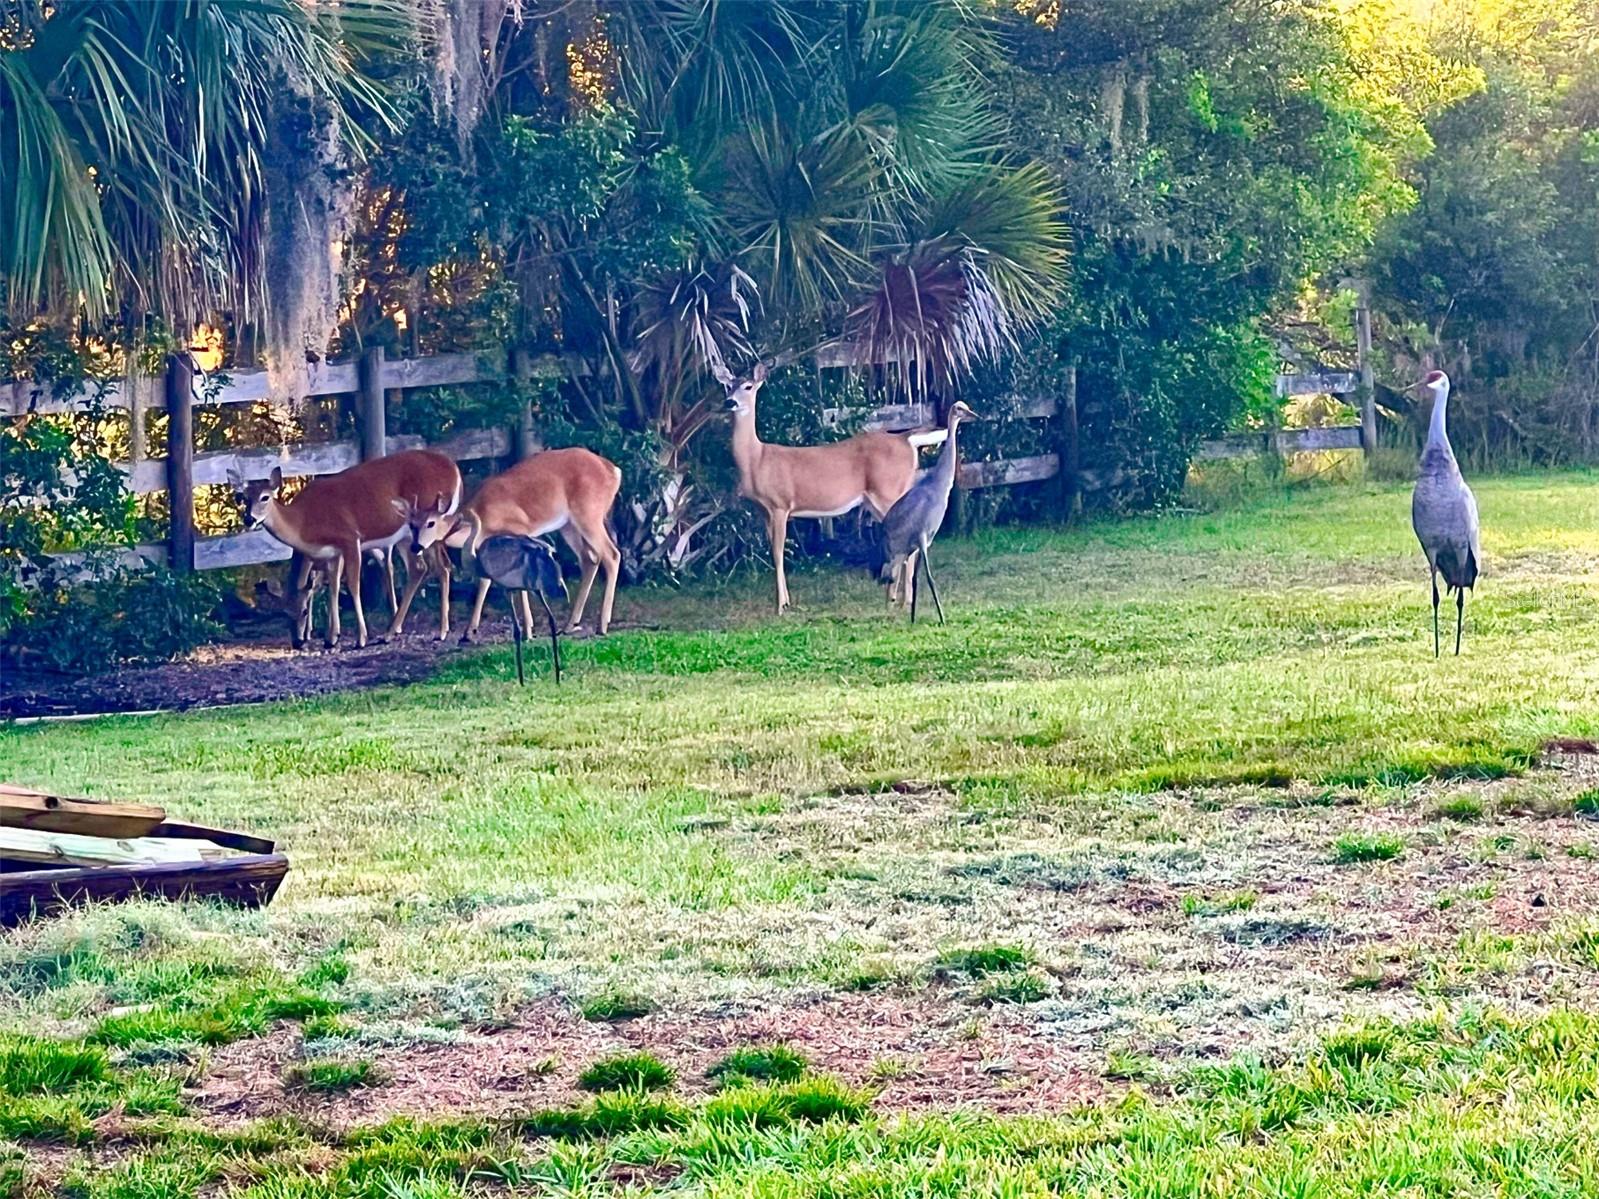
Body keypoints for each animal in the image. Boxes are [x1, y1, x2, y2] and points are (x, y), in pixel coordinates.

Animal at [231, 449, 461, 649]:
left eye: (265, 497)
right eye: (244, 499)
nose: (249, 519)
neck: (304, 522)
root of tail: (453, 468)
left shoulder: (350, 539)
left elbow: (352, 585)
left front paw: (360, 638)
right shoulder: (331, 553)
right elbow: (332, 586)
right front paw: (331, 637)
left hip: (429, 524)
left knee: (441, 566)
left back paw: (439, 631)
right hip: (407, 536)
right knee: (420, 568)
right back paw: (391, 632)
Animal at [404, 446, 623, 641]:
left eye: (431, 523)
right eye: (411, 524)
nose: (415, 546)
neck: (483, 516)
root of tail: (613, 470)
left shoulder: (518, 531)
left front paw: (527, 631)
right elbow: (485, 581)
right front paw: (469, 632)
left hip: (589, 512)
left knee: (611, 554)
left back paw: (602, 625)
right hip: (568, 524)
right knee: (589, 558)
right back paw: (570, 624)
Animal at [716, 360, 919, 614]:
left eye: (748, 386)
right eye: (727, 387)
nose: (730, 402)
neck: (757, 460)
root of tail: (905, 440)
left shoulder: (780, 504)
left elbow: (778, 553)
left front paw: (780, 606)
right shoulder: (762, 510)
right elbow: (774, 552)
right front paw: (786, 601)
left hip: (888, 491)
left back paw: (902, 600)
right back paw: (896, 598)